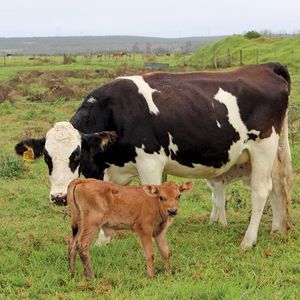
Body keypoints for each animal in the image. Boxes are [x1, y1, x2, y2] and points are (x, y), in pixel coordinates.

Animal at [15, 62, 292, 250]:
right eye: (47, 158)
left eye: (76, 155)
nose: (59, 197)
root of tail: (265, 67)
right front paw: (104, 240)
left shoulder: (150, 162)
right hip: (272, 151)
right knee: (278, 185)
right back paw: (277, 229)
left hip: (263, 146)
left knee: (261, 190)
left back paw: (248, 240)